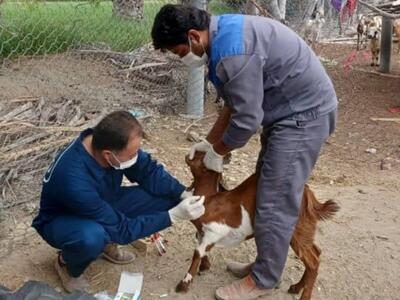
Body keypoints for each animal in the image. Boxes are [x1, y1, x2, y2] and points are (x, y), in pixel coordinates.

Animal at [177, 152, 340, 300]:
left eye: (200, 156)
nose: (187, 155)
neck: (209, 198)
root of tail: (309, 195)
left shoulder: (214, 231)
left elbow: (197, 252)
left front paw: (183, 284)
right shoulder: (202, 232)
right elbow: (200, 248)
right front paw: (205, 266)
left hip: (295, 228)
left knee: (312, 262)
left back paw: (303, 296)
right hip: (305, 227)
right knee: (316, 252)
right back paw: (296, 287)